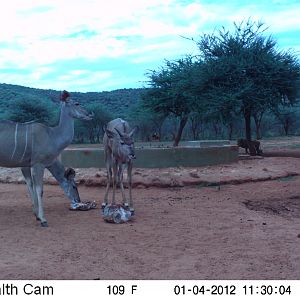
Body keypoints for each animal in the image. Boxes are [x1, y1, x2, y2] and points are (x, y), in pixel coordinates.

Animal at [0, 90, 93, 226]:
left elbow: (31, 186)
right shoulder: (38, 164)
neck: (52, 135)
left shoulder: (26, 165)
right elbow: (39, 189)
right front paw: (43, 219)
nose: (90, 114)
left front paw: (36, 215)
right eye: (77, 103)